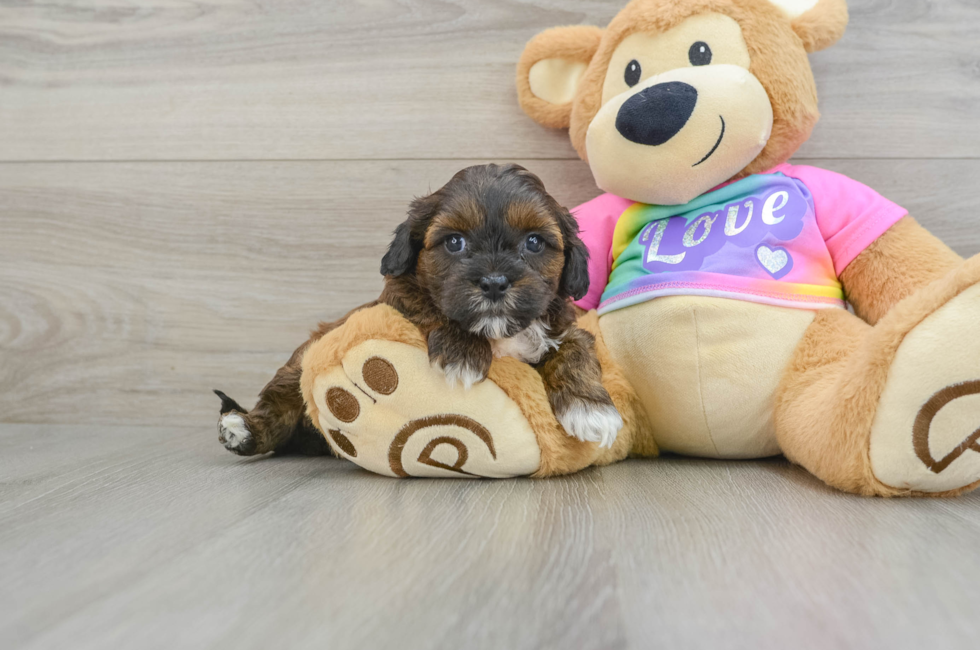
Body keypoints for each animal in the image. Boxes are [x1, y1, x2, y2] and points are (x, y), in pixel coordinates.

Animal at [218, 162, 624, 456]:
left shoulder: (564, 326)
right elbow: (427, 306)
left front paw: (591, 409)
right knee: (280, 400)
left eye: (535, 242)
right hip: (305, 356)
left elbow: (575, 348)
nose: (494, 282)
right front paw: (463, 353)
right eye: (455, 242)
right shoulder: (395, 296)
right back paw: (243, 430)